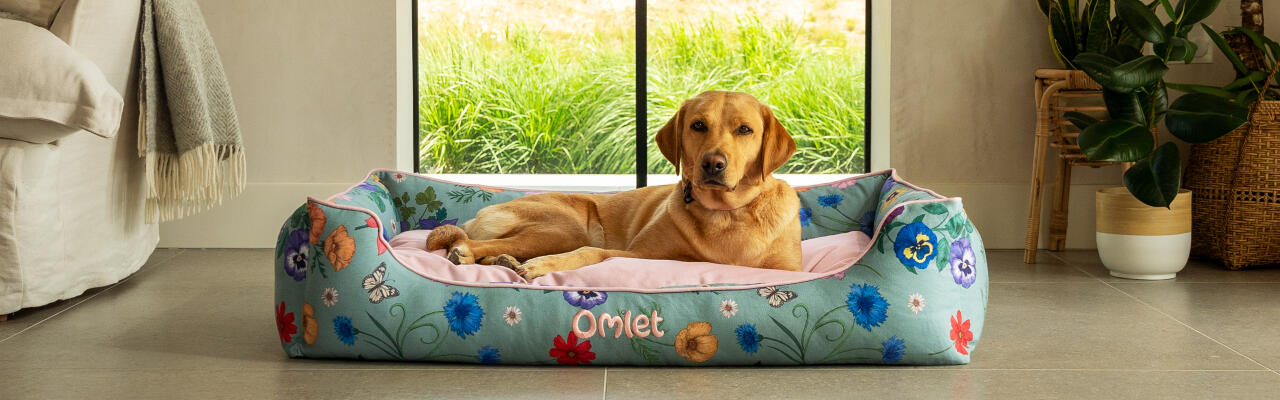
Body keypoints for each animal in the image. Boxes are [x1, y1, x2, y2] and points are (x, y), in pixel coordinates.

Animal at [427, 91, 798, 279]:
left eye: (745, 130)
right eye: (697, 125)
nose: (713, 163)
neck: (725, 214)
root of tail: (477, 216)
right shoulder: (638, 254)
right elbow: (591, 253)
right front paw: (544, 266)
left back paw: (502, 262)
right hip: (565, 228)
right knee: (477, 243)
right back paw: (475, 253)